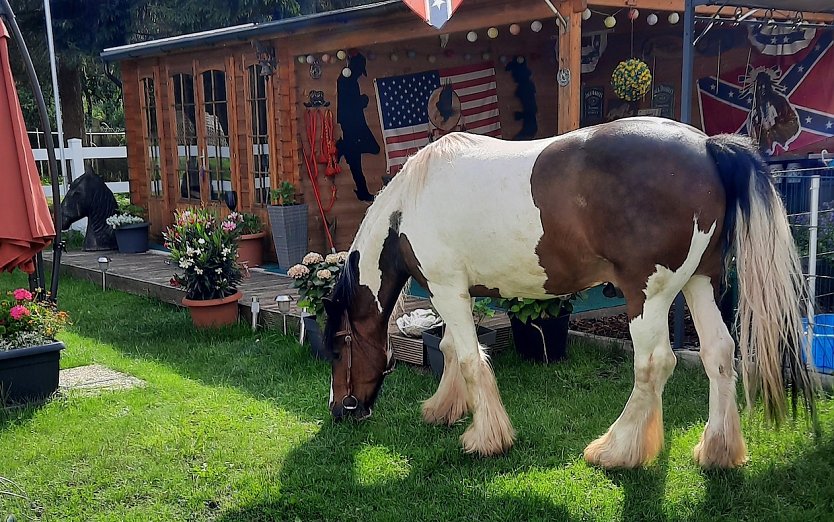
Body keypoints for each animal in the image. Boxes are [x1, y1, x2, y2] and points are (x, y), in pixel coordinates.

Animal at [324, 117, 812, 468]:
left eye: (338, 347)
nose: (340, 411)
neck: (410, 206)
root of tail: (707, 146)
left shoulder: (448, 290)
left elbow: (466, 359)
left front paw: (485, 439)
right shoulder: (457, 293)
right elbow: (450, 349)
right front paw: (444, 409)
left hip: (648, 295)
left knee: (655, 364)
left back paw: (617, 451)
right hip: (700, 282)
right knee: (719, 354)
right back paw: (717, 451)